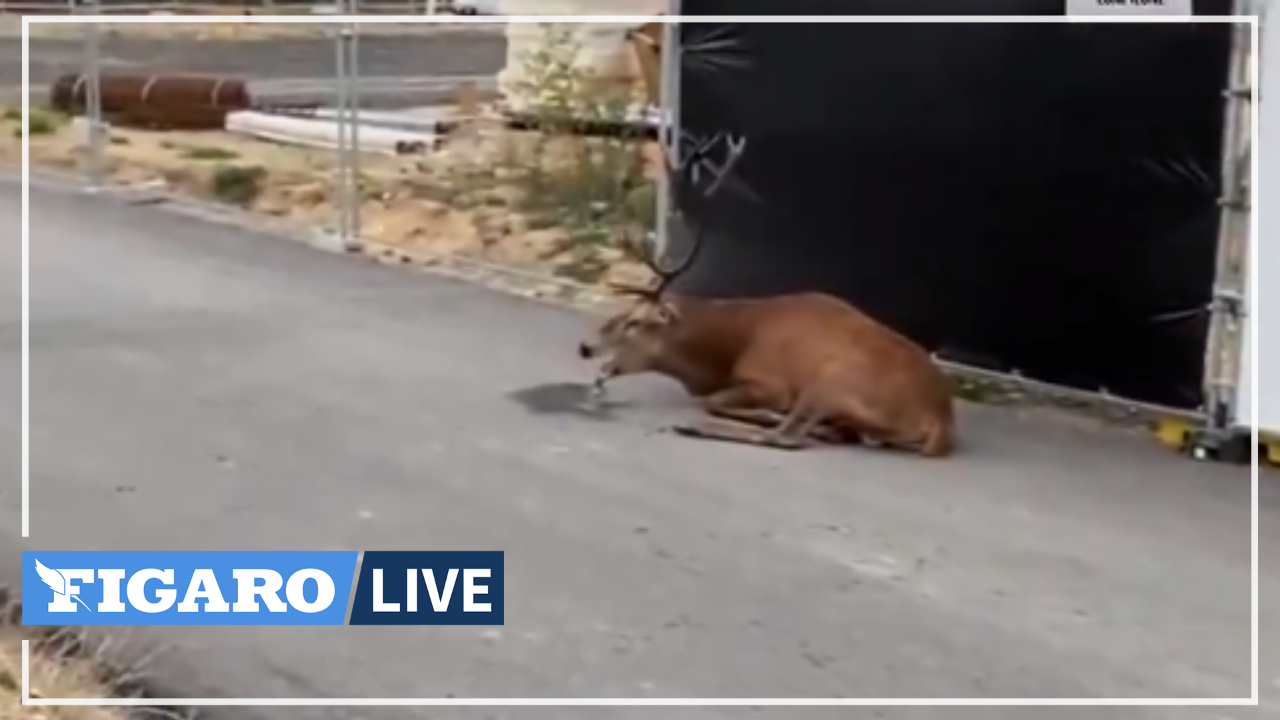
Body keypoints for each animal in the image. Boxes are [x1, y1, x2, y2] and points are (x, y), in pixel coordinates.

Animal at [581, 229, 962, 453]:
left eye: (634, 321)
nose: (585, 347)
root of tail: (940, 421)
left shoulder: (770, 382)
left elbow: (714, 400)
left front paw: (761, 412)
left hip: (833, 380)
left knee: (787, 437)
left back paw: (699, 427)